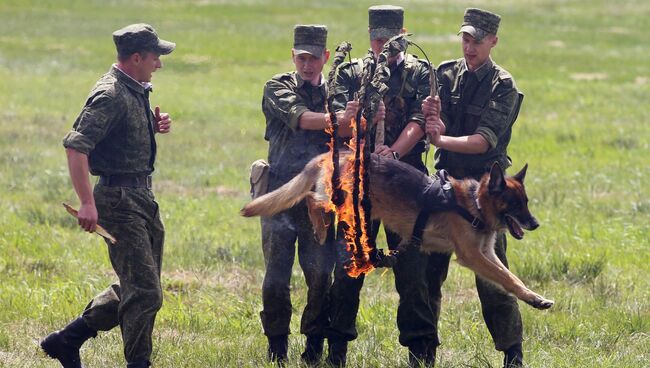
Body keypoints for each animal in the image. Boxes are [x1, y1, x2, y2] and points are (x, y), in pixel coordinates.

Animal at [240, 152, 556, 310]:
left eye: (526, 202)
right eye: (514, 203)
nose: (535, 224)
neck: (475, 204)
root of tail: (335, 153)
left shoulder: (486, 254)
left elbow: (510, 277)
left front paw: (533, 298)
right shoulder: (472, 256)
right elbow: (506, 278)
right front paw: (534, 299)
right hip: (342, 201)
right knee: (310, 199)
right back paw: (319, 226)